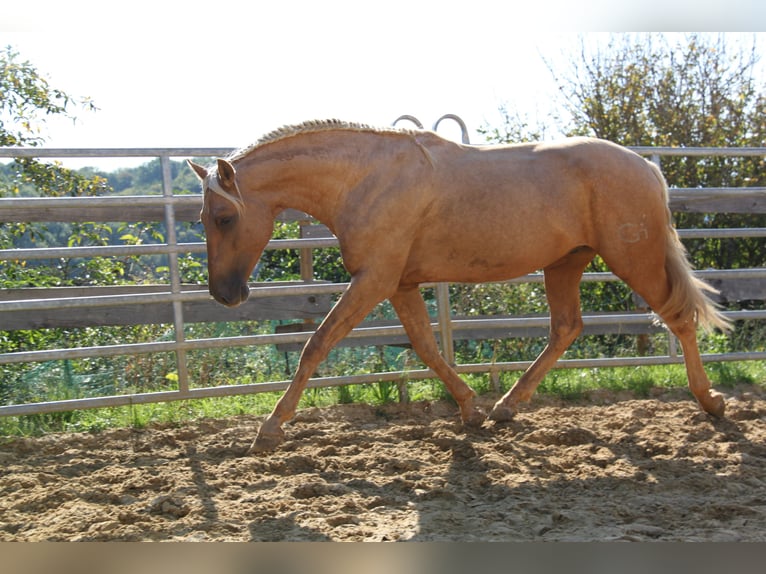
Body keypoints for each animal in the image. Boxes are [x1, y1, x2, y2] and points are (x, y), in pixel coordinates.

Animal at [189, 119, 731, 453]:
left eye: (223, 217)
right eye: (202, 218)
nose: (224, 294)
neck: (364, 178)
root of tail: (648, 167)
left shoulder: (374, 280)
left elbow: (316, 345)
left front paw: (269, 430)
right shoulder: (400, 284)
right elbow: (427, 349)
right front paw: (471, 410)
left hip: (632, 258)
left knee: (678, 317)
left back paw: (711, 402)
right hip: (566, 263)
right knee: (565, 328)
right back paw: (506, 407)